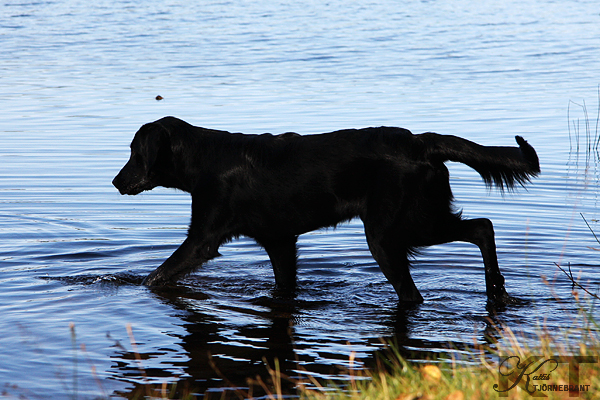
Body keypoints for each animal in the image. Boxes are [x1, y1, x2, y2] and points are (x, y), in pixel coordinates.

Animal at [112, 117, 540, 304]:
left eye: (135, 152)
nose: (116, 182)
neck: (205, 160)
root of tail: (422, 142)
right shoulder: (279, 241)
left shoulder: (203, 239)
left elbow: (157, 275)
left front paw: (125, 285)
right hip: (419, 219)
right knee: (483, 226)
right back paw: (495, 285)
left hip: (393, 231)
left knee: (421, 284)